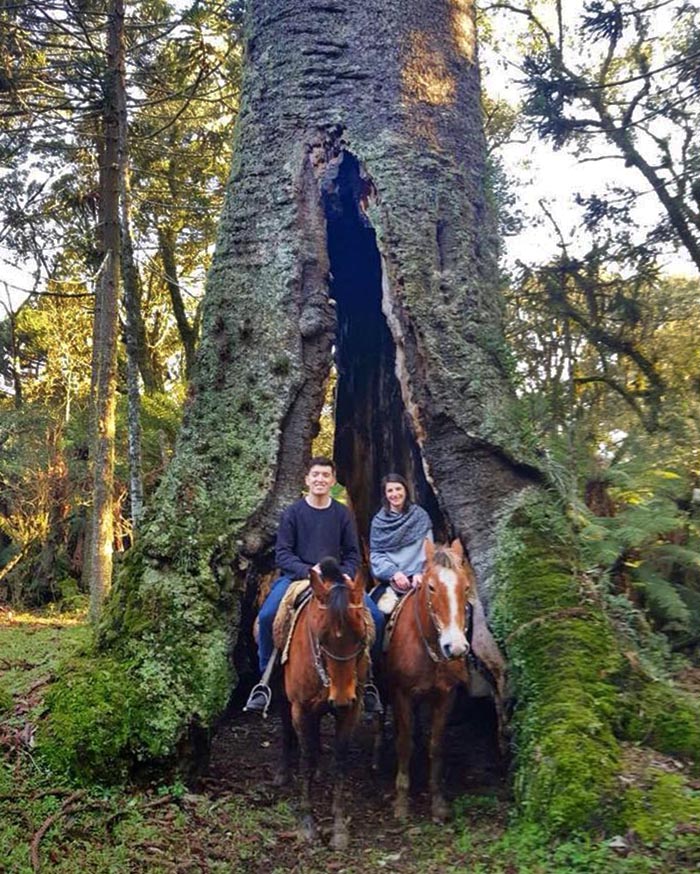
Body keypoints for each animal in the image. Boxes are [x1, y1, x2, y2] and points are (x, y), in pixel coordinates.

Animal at [278, 556, 372, 848]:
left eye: (361, 635)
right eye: (321, 636)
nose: (340, 698)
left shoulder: (352, 709)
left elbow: (339, 760)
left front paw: (339, 827)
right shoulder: (299, 707)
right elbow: (306, 758)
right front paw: (307, 823)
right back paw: (282, 771)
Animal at [382, 536, 470, 820]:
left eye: (466, 587)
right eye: (431, 587)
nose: (455, 647)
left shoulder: (446, 695)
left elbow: (437, 745)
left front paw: (438, 801)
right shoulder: (401, 694)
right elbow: (404, 743)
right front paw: (401, 801)